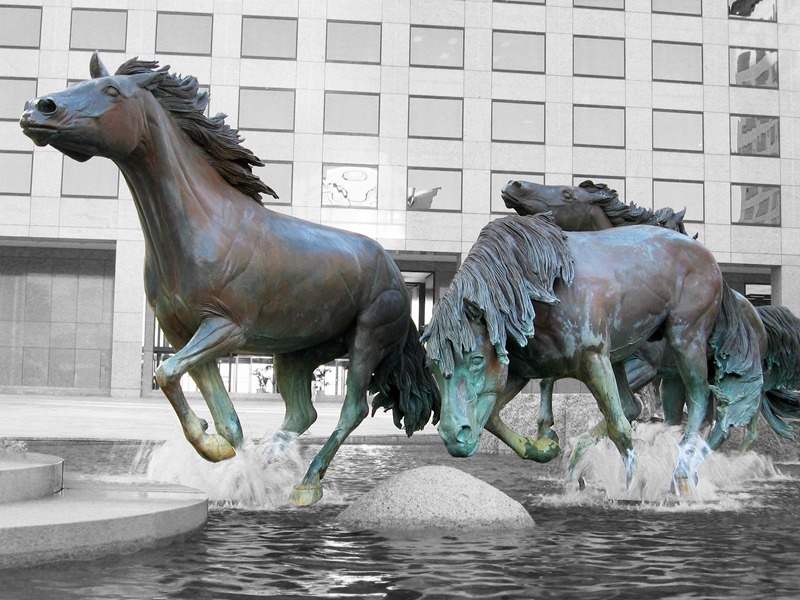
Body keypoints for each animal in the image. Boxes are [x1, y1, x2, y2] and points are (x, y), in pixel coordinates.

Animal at [18, 54, 440, 506]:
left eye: (112, 91)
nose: (37, 108)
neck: (203, 224)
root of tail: (395, 269)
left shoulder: (226, 327)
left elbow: (165, 373)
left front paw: (218, 453)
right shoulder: (184, 332)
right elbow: (222, 416)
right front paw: (226, 457)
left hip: (367, 339)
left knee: (352, 409)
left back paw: (306, 484)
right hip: (297, 353)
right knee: (302, 413)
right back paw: (270, 466)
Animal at [422, 214, 760, 492]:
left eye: (476, 360)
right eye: (433, 368)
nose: (453, 437)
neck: (540, 289)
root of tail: (710, 259)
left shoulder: (593, 358)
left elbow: (619, 428)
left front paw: (632, 490)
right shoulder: (521, 370)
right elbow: (492, 417)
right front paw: (544, 446)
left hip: (685, 339)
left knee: (702, 400)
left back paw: (682, 472)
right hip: (624, 356)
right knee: (636, 405)